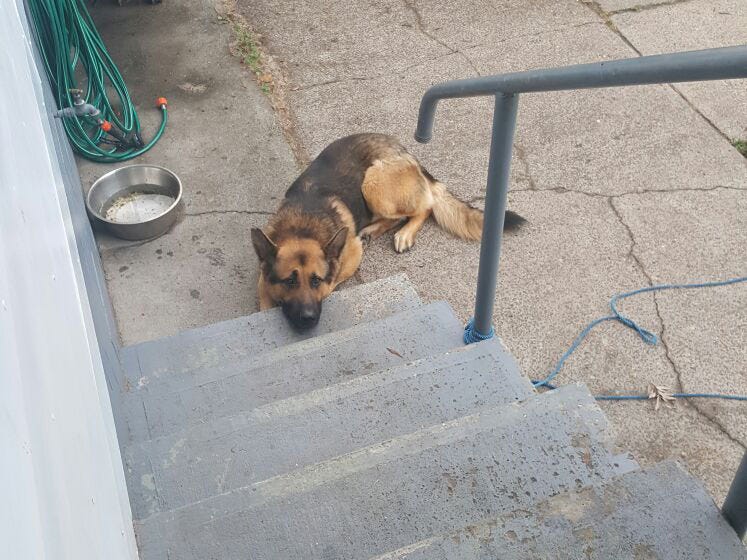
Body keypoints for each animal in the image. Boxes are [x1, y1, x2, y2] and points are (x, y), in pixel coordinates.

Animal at [253, 133, 524, 330]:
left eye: (315, 280)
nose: (308, 318)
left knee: (424, 207)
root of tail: (407, 153)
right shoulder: (264, 277)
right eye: (290, 281)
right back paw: (373, 230)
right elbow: (264, 295)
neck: (302, 226)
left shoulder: (350, 256)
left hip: (374, 184)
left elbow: (332, 282)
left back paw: (404, 233)